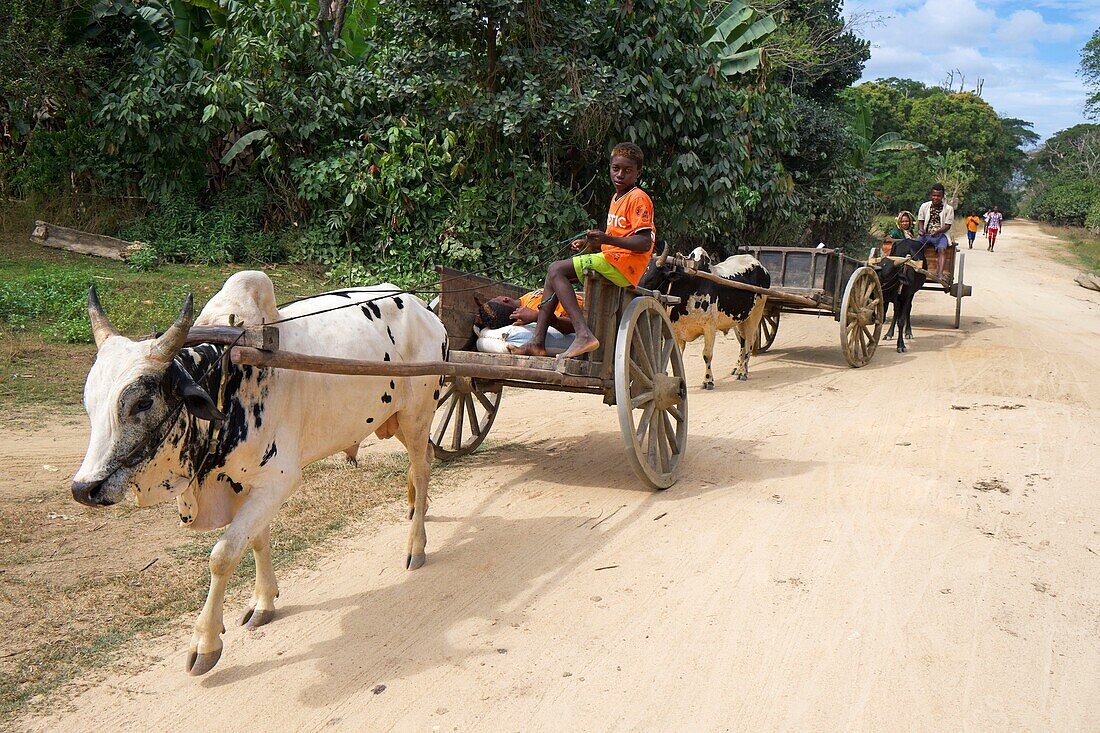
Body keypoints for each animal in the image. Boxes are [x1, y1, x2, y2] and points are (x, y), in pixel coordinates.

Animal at [70, 269, 446, 673]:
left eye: (142, 401)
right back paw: (417, 506)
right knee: (422, 461)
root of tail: (425, 309)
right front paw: (263, 602)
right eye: (89, 402)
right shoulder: (243, 484)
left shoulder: (278, 481)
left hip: (417, 414)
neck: (227, 378)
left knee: (422, 469)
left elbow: (222, 556)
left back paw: (416, 544)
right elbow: (257, 541)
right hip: (399, 419)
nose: (83, 489)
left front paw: (205, 642)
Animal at [638, 245, 774, 387]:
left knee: (749, 342)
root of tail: (760, 266)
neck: (689, 284)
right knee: (743, 341)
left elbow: (707, 354)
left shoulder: (709, 327)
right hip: (740, 318)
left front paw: (708, 380)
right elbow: (678, 355)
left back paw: (742, 371)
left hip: (756, 313)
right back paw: (739, 368)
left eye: (652, 277)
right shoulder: (677, 330)